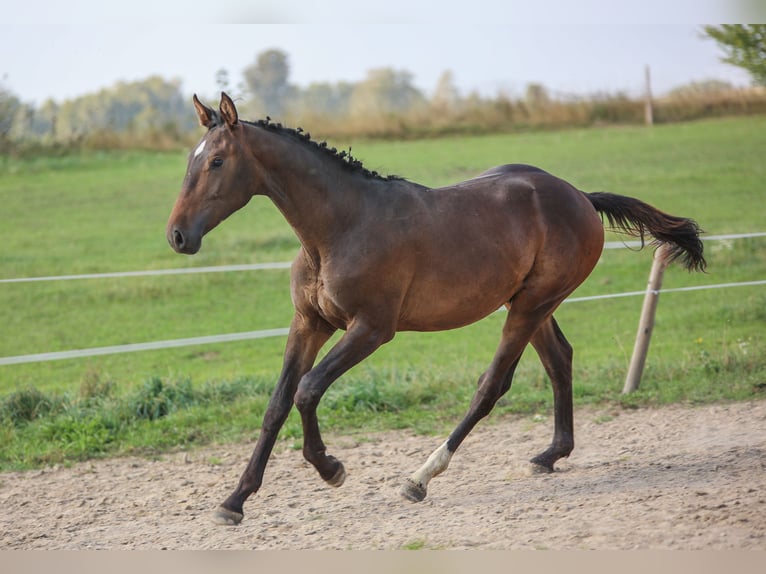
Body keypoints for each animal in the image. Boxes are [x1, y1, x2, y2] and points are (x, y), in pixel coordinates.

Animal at [168, 93, 708, 528]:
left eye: (216, 161)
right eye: (191, 161)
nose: (177, 236)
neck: (340, 227)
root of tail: (580, 197)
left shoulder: (371, 329)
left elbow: (308, 390)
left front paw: (331, 469)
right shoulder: (309, 323)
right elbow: (277, 404)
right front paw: (234, 502)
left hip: (531, 305)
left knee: (491, 386)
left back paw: (420, 478)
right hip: (530, 304)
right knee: (559, 360)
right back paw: (550, 455)